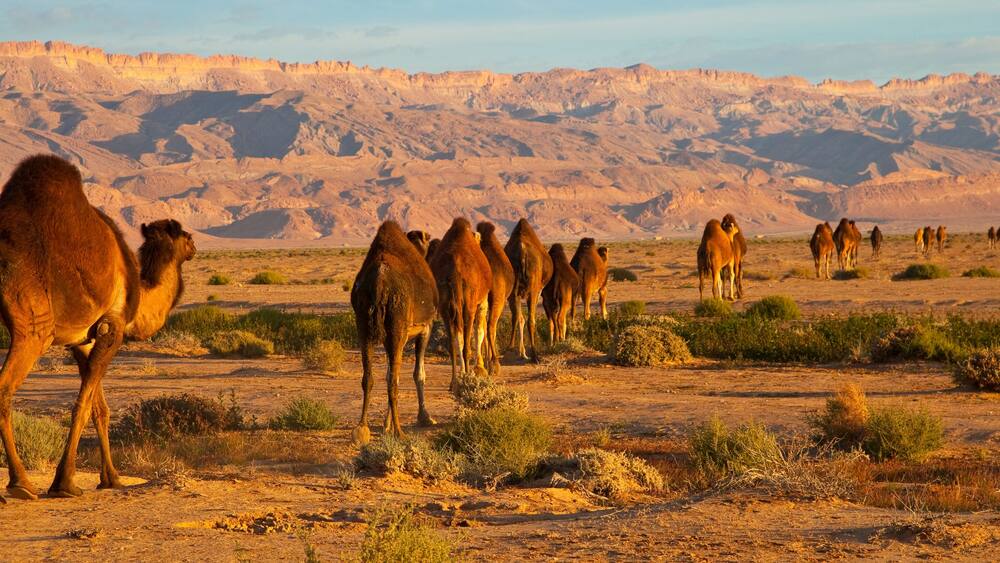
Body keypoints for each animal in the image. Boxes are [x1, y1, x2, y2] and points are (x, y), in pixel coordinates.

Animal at [0, 155, 195, 501]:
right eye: (187, 236)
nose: (195, 245)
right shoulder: (112, 327)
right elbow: (83, 404)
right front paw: (64, 483)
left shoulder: (83, 339)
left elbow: (99, 408)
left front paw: (111, 478)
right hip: (32, 328)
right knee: (5, 389)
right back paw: (21, 483)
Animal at [350, 221, 438, 445]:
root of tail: (379, 283)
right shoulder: (425, 327)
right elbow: (418, 374)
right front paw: (424, 417)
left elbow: (389, 372)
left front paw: (385, 424)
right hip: (396, 326)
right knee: (393, 381)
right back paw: (399, 431)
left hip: (363, 324)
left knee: (369, 377)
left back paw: (361, 428)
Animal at [429, 218, 492, 390]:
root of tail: (454, 271)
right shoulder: (482, 302)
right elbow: (479, 331)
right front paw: (480, 369)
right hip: (468, 304)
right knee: (466, 344)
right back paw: (467, 378)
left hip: (445, 305)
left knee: (453, 343)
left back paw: (454, 382)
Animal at [504, 219, 553, 362]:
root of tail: (522, 251)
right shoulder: (537, 291)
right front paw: (524, 353)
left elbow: (520, 318)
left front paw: (522, 353)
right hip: (533, 290)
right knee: (530, 320)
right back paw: (535, 355)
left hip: (513, 291)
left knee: (516, 317)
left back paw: (510, 348)